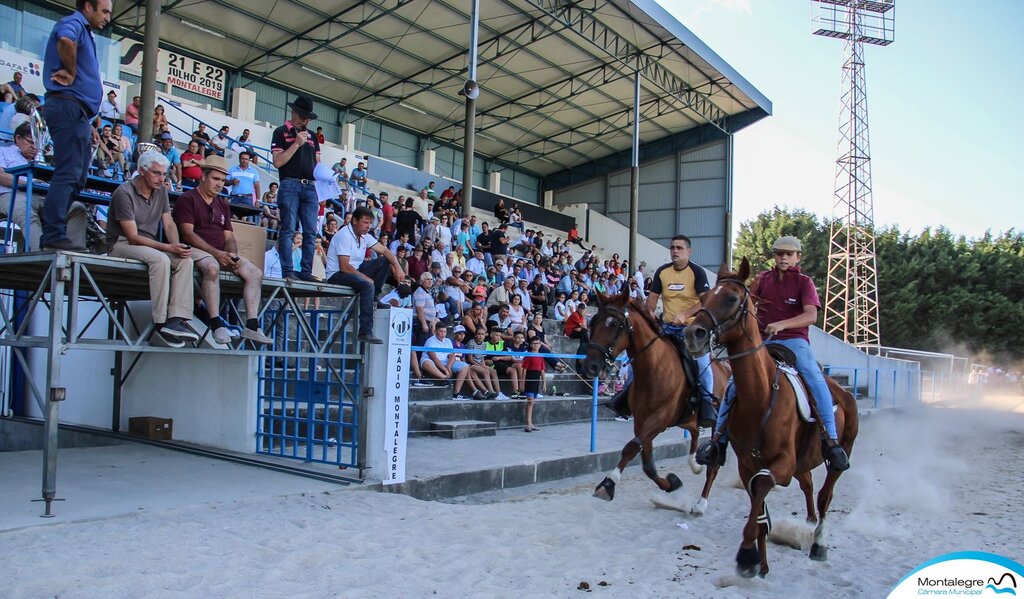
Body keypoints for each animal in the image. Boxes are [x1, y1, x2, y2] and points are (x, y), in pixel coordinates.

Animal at [581, 290, 733, 514]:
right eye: (593, 323)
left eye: (614, 324)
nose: (590, 366)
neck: (653, 369)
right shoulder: (642, 421)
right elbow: (647, 464)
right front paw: (671, 483)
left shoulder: (659, 421)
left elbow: (631, 448)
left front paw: (608, 484)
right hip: (687, 419)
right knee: (695, 432)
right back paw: (694, 464)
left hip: (718, 423)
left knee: (712, 464)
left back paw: (701, 503)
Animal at [684, 258, 860, 577]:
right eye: (704, 297)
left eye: (731, 298)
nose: (693, 334)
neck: (761, 396)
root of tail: (844, 392)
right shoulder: (748, 463)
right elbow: (758, 505)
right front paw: (759, 562)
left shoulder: (783, 463)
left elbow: (761, 490)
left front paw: (746, 555)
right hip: (803, 462)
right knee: (808, 484)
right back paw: (809, 522)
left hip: (841, 454)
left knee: (825, 495)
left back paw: (819, 542)